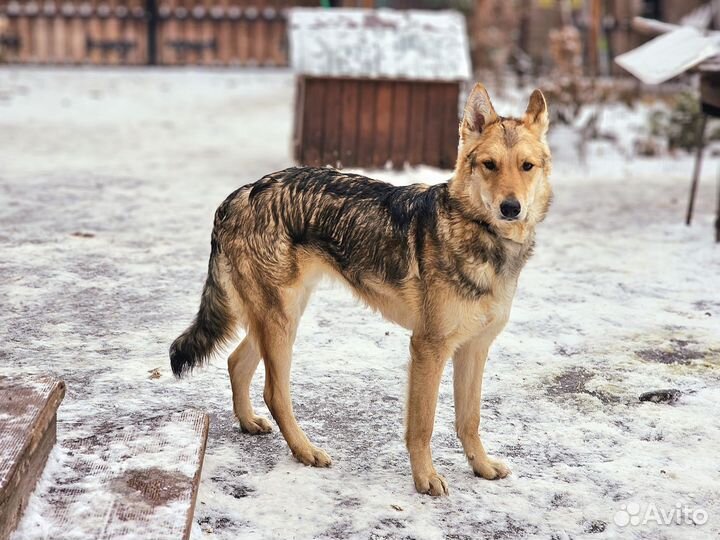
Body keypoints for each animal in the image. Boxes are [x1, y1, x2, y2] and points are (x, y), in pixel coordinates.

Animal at [169, 85, 552, 498]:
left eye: (526, 166)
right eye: (490, 165)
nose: (510, 208)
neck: (483, 239)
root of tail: (237, 196)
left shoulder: (474, 348)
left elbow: (470, 419)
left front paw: (481, 467)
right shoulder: (428, 347)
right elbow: (423, 424)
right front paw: (425, 479)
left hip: (281, 316)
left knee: (236, 363)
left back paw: (248, 423)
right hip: (280, 322)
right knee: (274, 392)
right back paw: (305, 451)